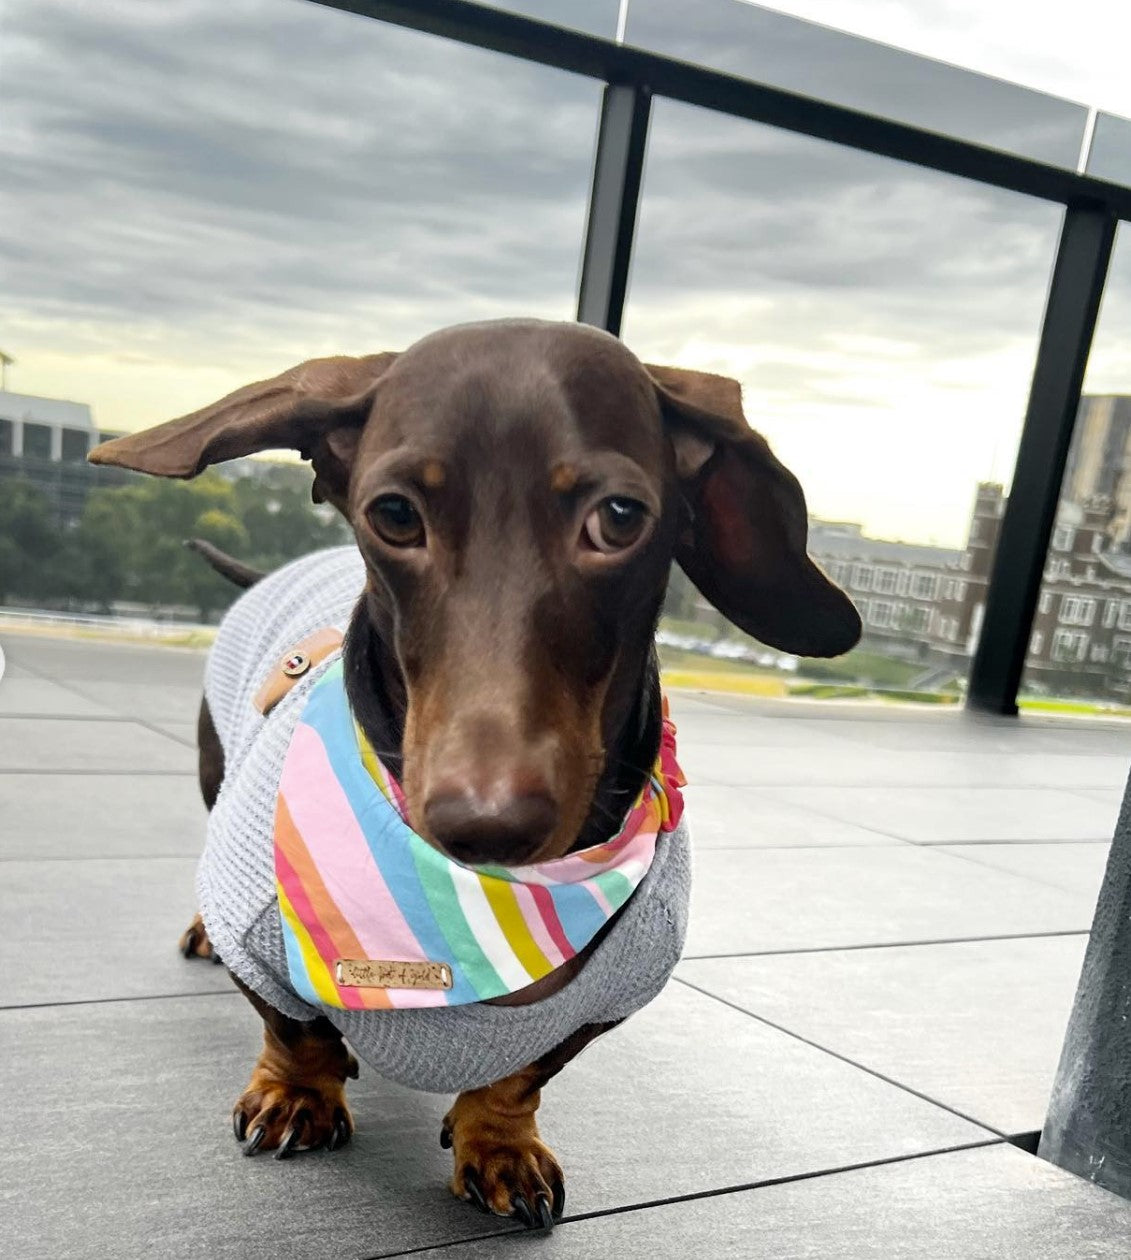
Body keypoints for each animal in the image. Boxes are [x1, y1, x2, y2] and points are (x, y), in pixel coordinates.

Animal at [92, 317, 856, 1229]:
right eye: (393, 514)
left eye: (619, 518)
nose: (486, 823)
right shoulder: (259, 931)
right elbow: (293, 1027)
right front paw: (299, 1093)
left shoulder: (612, 996)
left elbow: (523, 1074)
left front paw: (497, 1141)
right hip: (216, 771)